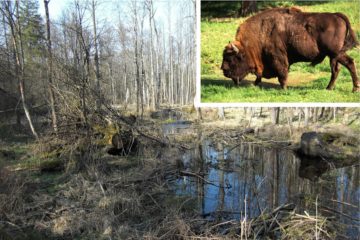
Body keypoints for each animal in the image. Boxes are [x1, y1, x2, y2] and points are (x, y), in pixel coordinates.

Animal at [222, 7, 360, 92]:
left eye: (231, 59)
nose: (224, 70)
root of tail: (337, 15)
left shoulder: (278, 57)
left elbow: (282, 73)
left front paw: (284, 88)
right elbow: (260, 75)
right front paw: (254, 84)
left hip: (336, 53)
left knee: (349, 63)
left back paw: (354, 88)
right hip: (333, 56)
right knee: (336, 69)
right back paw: (329, 88)